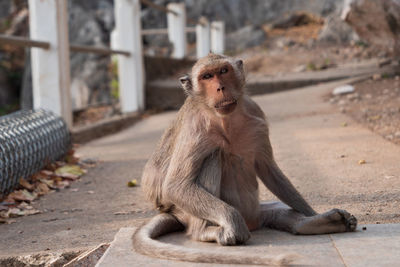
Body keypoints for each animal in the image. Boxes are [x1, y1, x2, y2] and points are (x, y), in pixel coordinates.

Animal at [133, 54, 358, 266]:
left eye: (223, 71)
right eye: (207, 76)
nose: (220, 87)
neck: (226, 120)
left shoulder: (256, 112)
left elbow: (268, 169)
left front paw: (312, 214)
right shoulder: (193, 127)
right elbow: (176, 186)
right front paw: (232, 222)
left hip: (257, 211)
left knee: (276, 212)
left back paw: (313, 223)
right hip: (187, 211)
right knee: (212, 157)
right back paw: (205, 231)